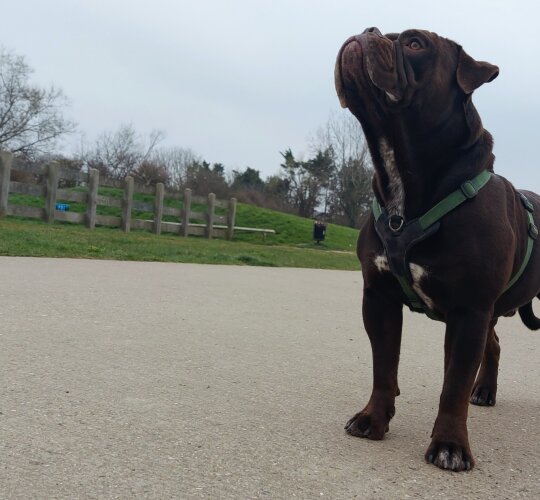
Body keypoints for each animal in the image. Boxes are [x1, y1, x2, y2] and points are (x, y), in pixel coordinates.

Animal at [334, 28, 540, 472]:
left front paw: (450, 444)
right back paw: (485, 391)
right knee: (494, 345)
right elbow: (384, 366)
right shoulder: (379, 298)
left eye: (415, 43)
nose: (368, 31)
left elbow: (453, 384)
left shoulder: (469, 311)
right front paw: (373, 419)